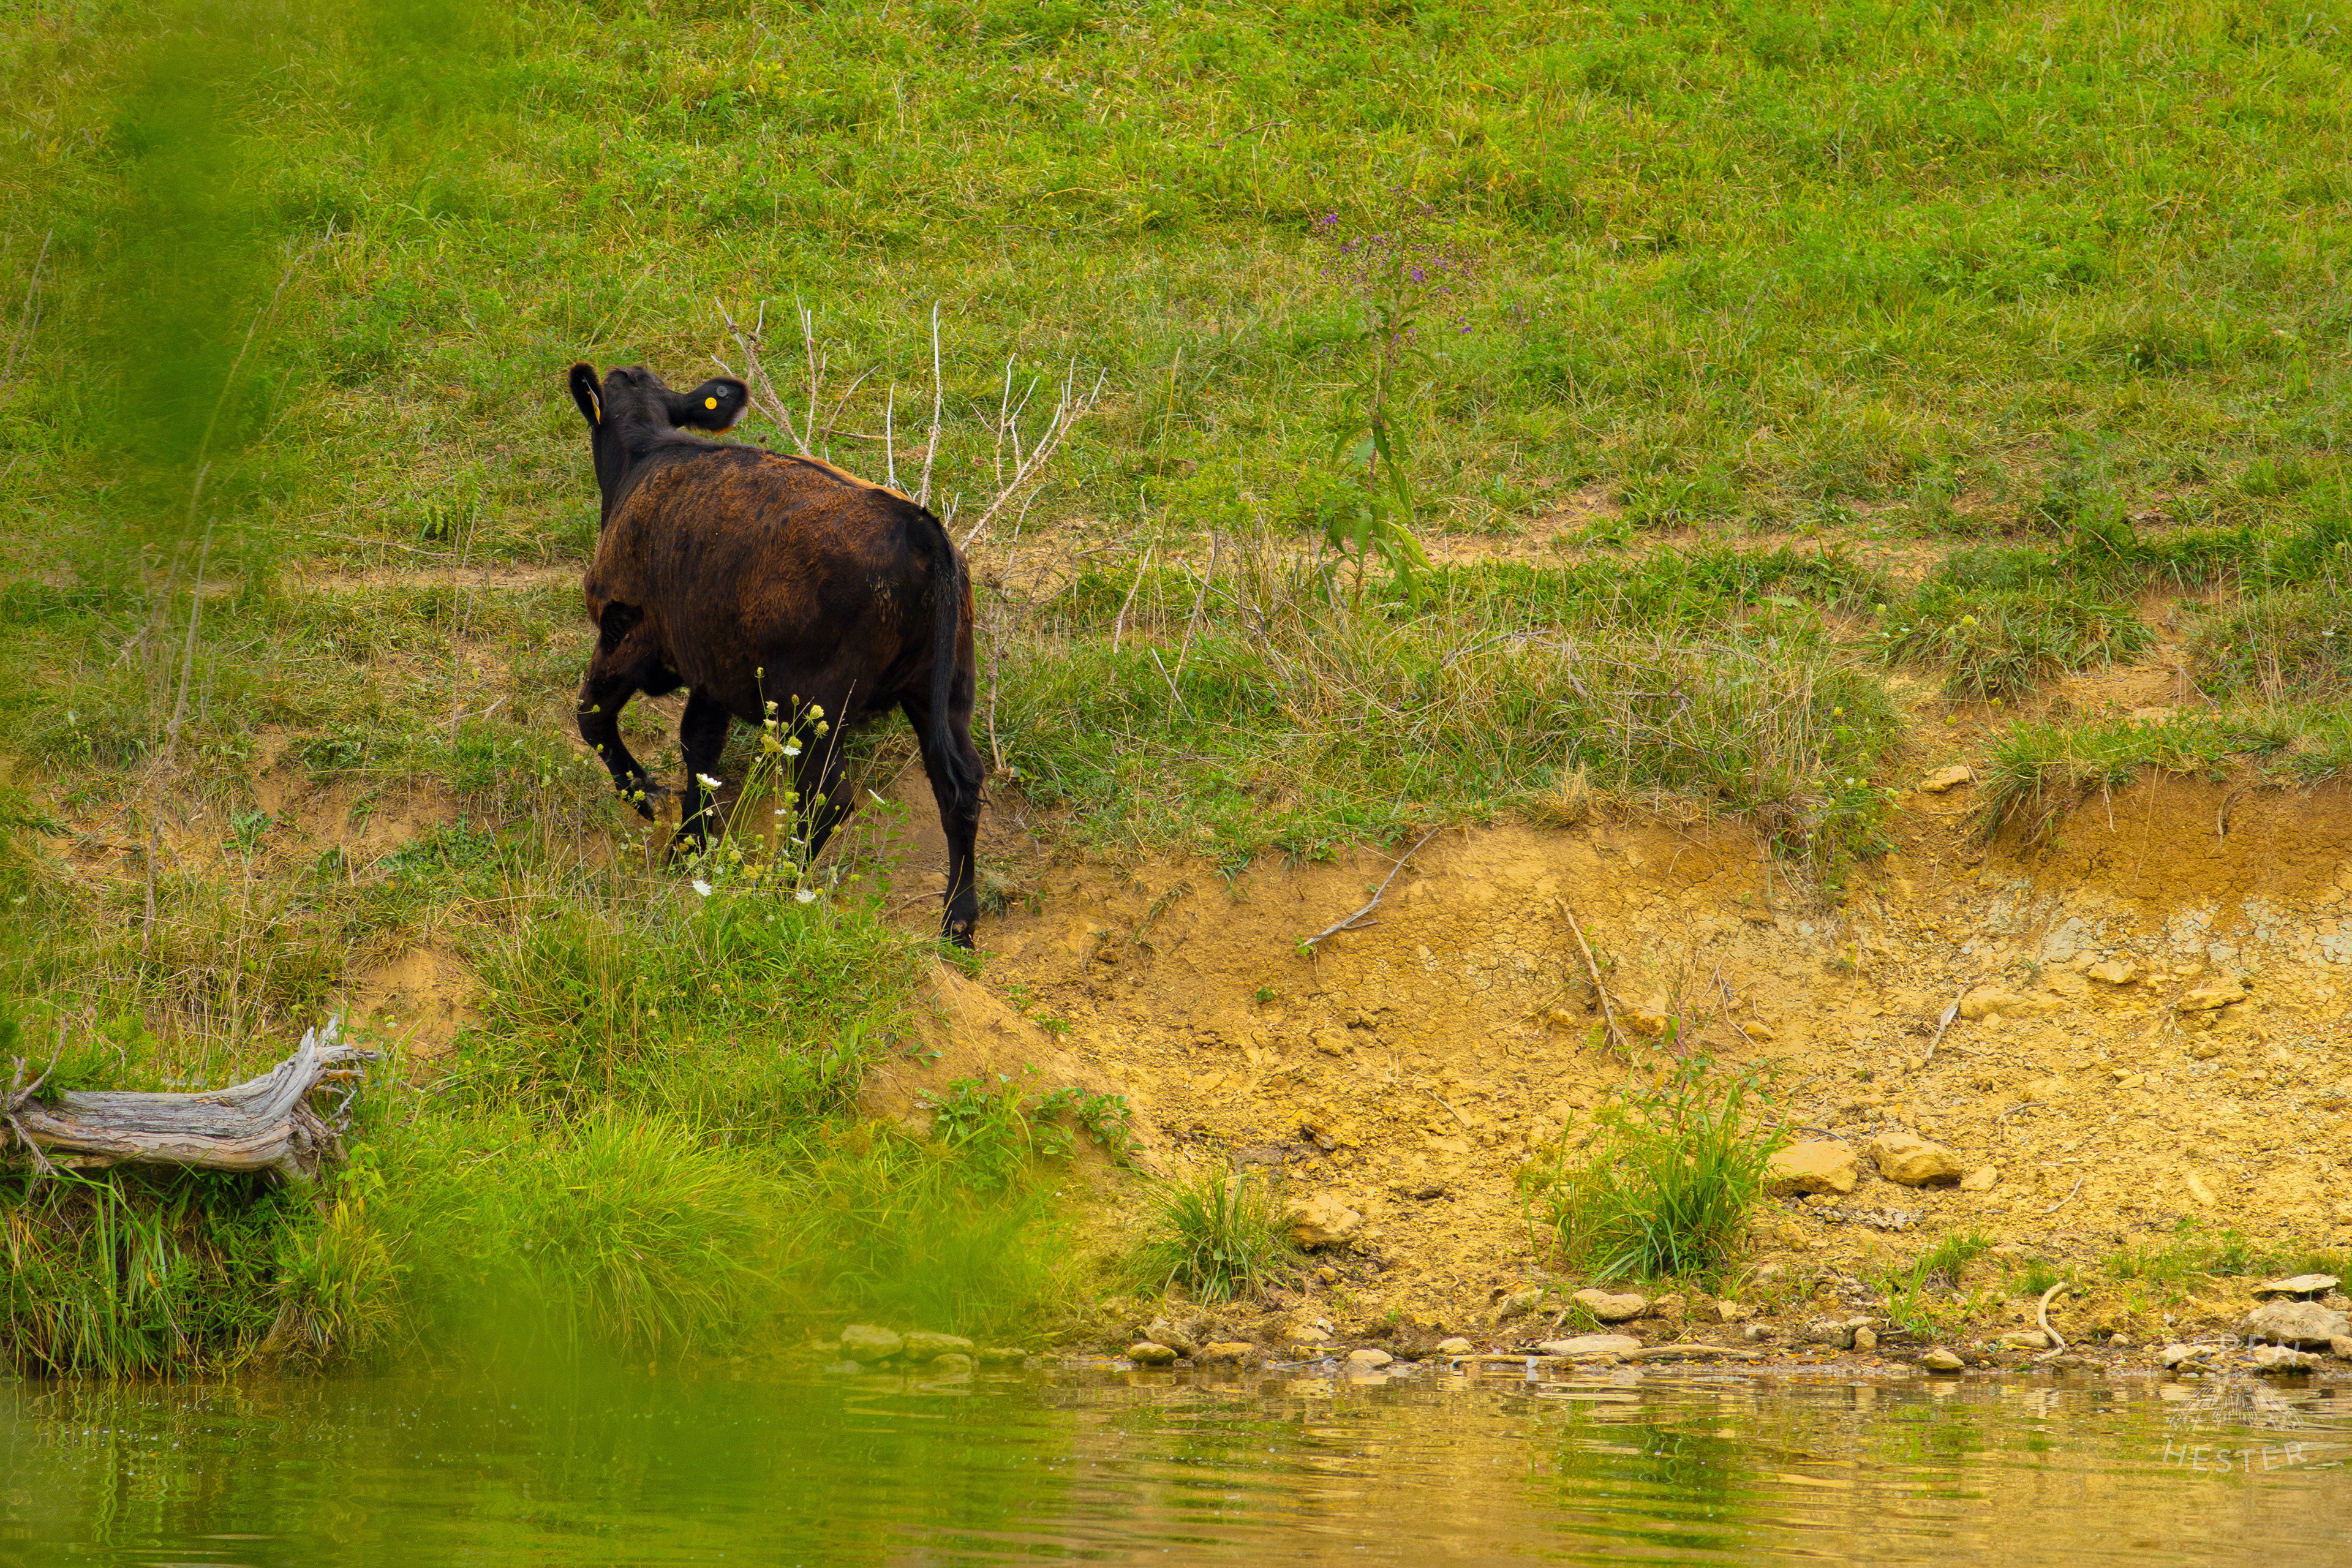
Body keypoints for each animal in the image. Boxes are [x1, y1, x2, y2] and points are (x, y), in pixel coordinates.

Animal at [566, 361, 984, 946]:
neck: (649, 450)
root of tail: (920, 526)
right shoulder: (713, 665)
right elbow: (700, 748)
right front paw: (690, 846)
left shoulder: (626, 634)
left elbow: (593, 718)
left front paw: (648, 801)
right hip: (944, 691)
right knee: (959, 786)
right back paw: (957, 914)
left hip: (815, 708)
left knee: (830, 797)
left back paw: (779, 888)